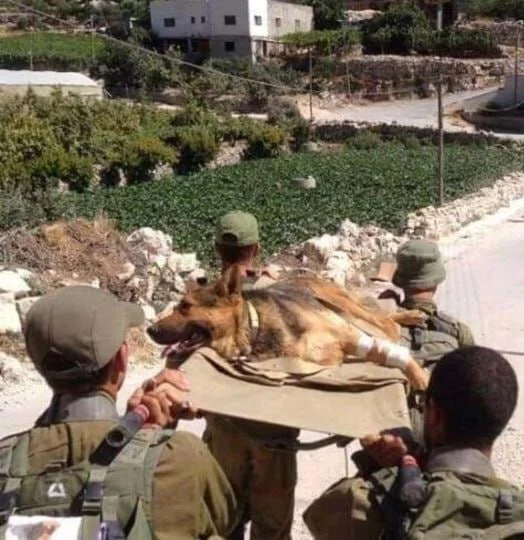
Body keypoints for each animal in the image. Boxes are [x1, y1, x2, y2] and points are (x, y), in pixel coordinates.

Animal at [148, 266, 430, 388]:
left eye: (185, 306)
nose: (150, 331)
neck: (254, 328)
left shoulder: (348, 336)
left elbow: (401, 358)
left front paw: (423, 378)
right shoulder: (326, 357)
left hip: (342, 304)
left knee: (384, 322)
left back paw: (408, 318)